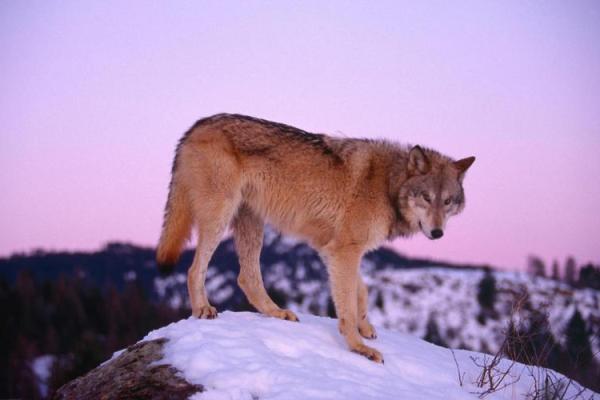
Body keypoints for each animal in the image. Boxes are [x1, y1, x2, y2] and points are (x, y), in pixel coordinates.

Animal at [157, 112, 476, 362]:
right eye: (426, 197)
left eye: (447, 201)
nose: (437, 232)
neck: (388, 185)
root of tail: (196, 125)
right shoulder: (344, 251)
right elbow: (347, 305)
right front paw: (358, 347)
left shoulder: (332, 249)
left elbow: (361, 290)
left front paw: (365, 329)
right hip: (220, 217)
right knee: (194, 269)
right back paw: (202, 309)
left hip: (252, 223)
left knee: (246, 278)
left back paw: (277, 313)